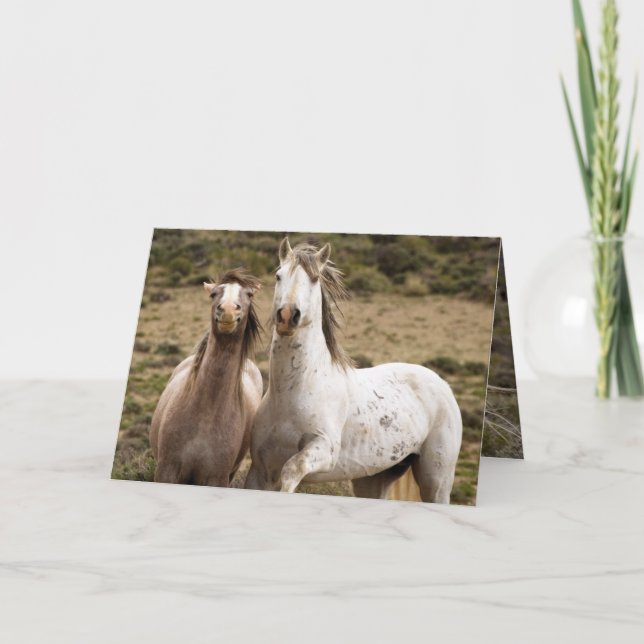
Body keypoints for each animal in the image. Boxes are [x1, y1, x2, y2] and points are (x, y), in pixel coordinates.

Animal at [150, 269, 263, 487]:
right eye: (213, 294)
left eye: (249, 294)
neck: (205, 415)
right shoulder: (167, 471)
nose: (227, 311)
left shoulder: (216, 478)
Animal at [244, 238, 463, 503]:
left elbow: (293, 469)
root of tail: (443, 384)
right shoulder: (260, 471)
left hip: (436, 480)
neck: (294, 390)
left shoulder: (323, 450)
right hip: (374, 478)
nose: (287, 316)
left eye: (314, 279)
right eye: (278, 275)